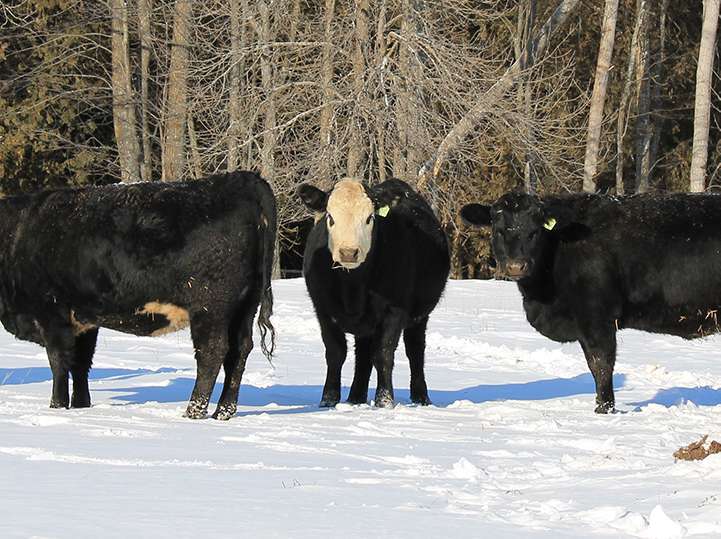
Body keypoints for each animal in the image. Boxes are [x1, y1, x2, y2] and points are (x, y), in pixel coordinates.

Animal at [0, 171, 276, 420]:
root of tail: (242, 179)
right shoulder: (84, 320)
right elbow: (81, 364)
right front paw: (81, 405)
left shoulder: (52, 314)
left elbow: (59, 363)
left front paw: (56, 406)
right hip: (245, 305)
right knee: (239, 350)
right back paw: (223, 412)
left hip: (211, 306)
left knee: (212, 351)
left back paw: (193, 412)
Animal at [297, 178, 450, 408]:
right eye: (330, 217)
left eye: (369, 218)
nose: (348, 252)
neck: (353, 287)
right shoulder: (323, 309)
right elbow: (335, 353)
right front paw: (328, 400)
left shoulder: (395, 310)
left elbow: (384, 354)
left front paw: (384, 401)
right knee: (362, 355)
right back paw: (355, 397)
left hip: (420, 317)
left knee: (415, 351)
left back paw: (421, 397)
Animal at [460, 190, 721, 414]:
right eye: (498, 230)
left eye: (535, 231)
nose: (516, 266)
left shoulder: (596, 317)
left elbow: (601, 364)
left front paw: (604, 409)